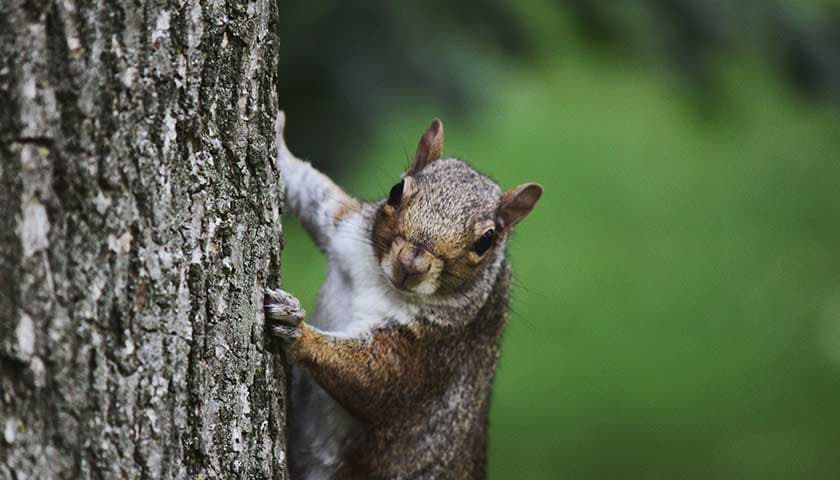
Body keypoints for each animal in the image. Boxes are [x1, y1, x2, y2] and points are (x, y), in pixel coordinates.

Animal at [264, 112, 542, 479]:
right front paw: (280, 142)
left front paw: (296, 329)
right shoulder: (345, 229)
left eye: (487, 240)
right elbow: (315, 194)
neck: (382, 283)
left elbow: (375, 377)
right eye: (397, 191)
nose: (411, 262)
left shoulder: (436, 351)